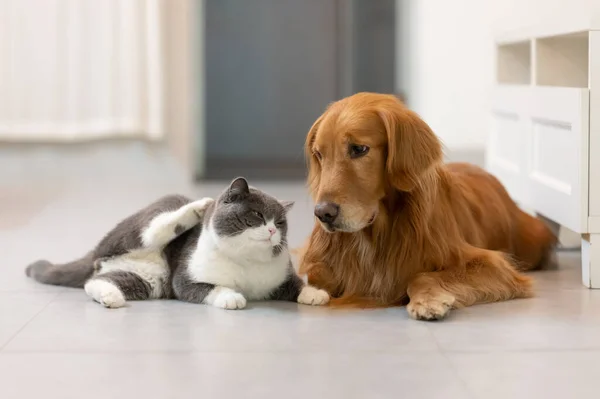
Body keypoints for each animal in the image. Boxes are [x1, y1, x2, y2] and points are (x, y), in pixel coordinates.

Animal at [25, 177, 330, 310]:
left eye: (281, 222)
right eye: (256, 215)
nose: (272, 230)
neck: (247, 264)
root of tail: (99, 251)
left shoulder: (280, 276)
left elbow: (296, 284)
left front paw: (315, 293)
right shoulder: (185, 278)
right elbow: (208, 287)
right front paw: (232, 297)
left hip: (149, 281)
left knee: (96, 282)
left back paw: (111, 297)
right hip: (143, 228)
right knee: (153, 231)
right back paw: (197, 208)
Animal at [298, 92, 556, 320]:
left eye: (358, 149)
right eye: (319, 154)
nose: (323, 213)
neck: (376, 234)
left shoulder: (492, 264)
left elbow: (421, 276)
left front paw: (428, 301)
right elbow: (317, 273)